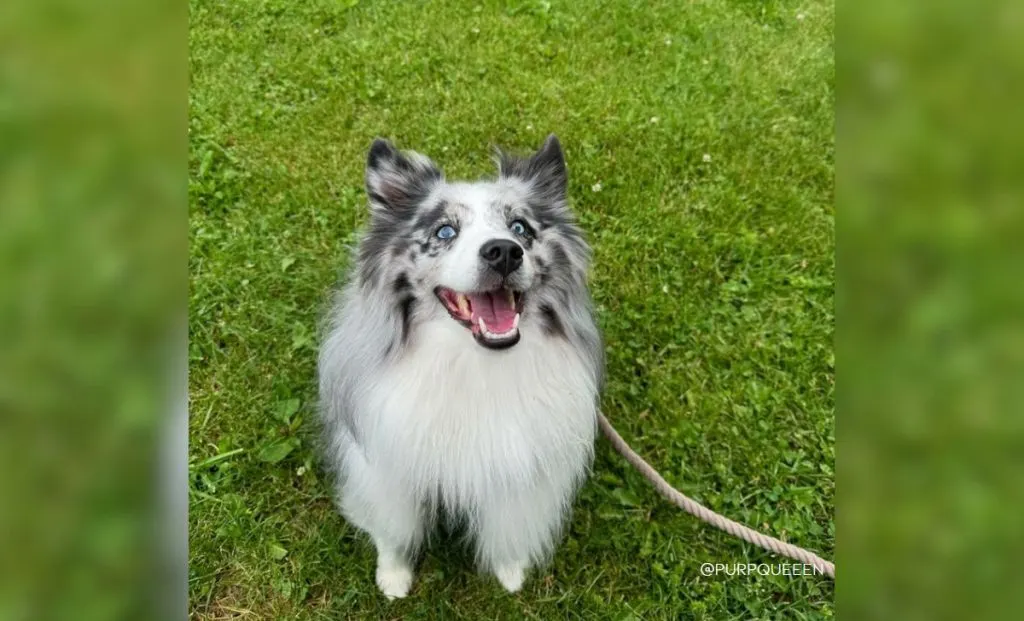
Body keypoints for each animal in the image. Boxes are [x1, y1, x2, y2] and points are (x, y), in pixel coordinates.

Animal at [317, 135, 598, 598]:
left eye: (521, 228)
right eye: (445, 232)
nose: (504, 252)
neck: (473, 363)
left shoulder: (516, 467)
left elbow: (509, 526)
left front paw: (510, 570)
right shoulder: (388, 468)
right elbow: (394, 530)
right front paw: (393, 577)